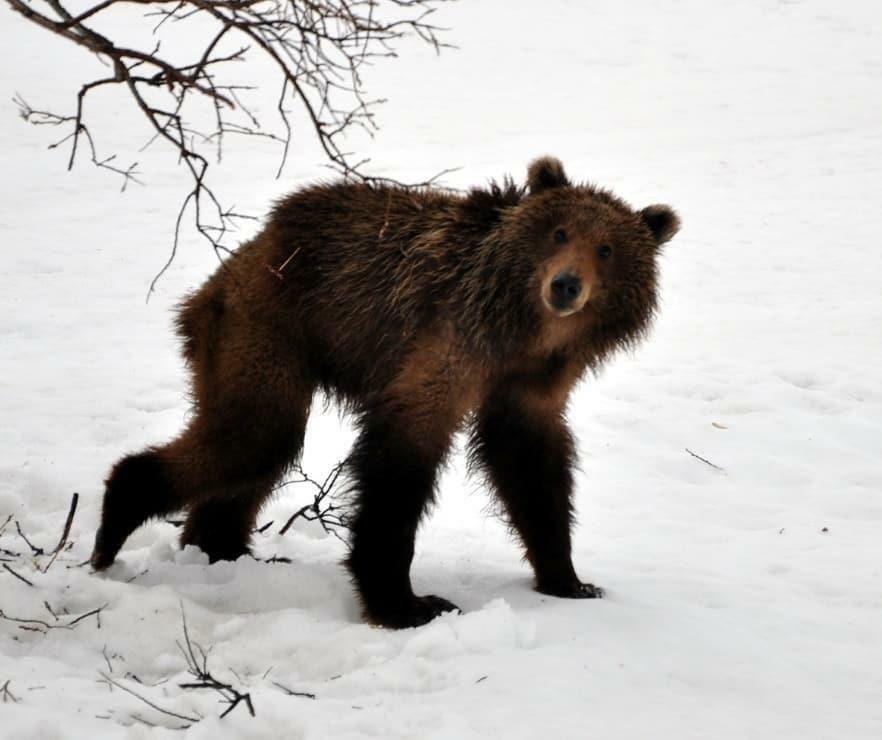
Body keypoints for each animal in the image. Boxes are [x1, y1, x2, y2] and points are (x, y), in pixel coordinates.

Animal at [91, 155, 680, 624]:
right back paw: (115, 524)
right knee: (254, 435)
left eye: (606, 249)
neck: (525, 330)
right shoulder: (450, 341)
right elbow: (401, 459)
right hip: (266, 325)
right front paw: (407, 602)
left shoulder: (531, 381)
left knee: (256, 451)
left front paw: (570, 579)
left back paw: (223, 548)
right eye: (558, 233)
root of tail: (241, 256)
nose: (565, 285)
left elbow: (530, 465)